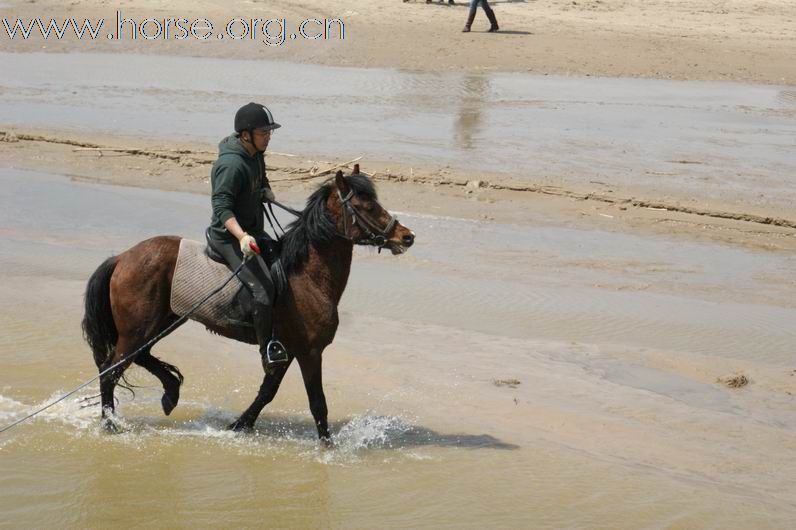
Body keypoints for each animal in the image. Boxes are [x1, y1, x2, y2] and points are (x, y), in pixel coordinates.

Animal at [81, 168, 416, 438]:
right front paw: (327, 446)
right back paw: (110, 425)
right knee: (111, 371)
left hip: (162, 322)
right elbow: (317, 403)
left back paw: (170, 393)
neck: (307, 275)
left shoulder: (285, 350)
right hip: (139, 328)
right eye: (366, 206)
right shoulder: (310, 352)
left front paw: (239, 426)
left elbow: (267, 392)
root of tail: (122, 258)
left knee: (138, 357)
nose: (407, 236)